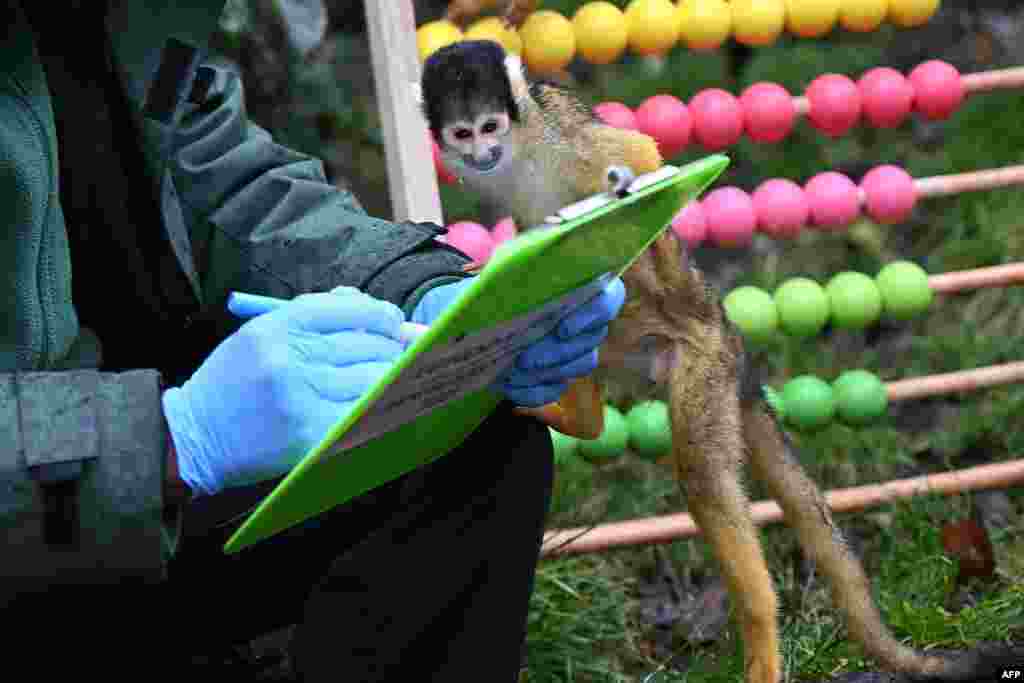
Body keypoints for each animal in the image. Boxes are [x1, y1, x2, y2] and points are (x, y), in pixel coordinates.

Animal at [417, 41, 1024, 683]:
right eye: (462, 133)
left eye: (490, 127)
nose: (482, 153)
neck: (518, 151)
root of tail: (726, 334)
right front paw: (486, 270)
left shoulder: (559, 129)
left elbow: (639, 159)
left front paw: (621, 193)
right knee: (579, 324)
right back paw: (579, 413)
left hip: (702, 364)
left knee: (705, 476)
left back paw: (760, 628)